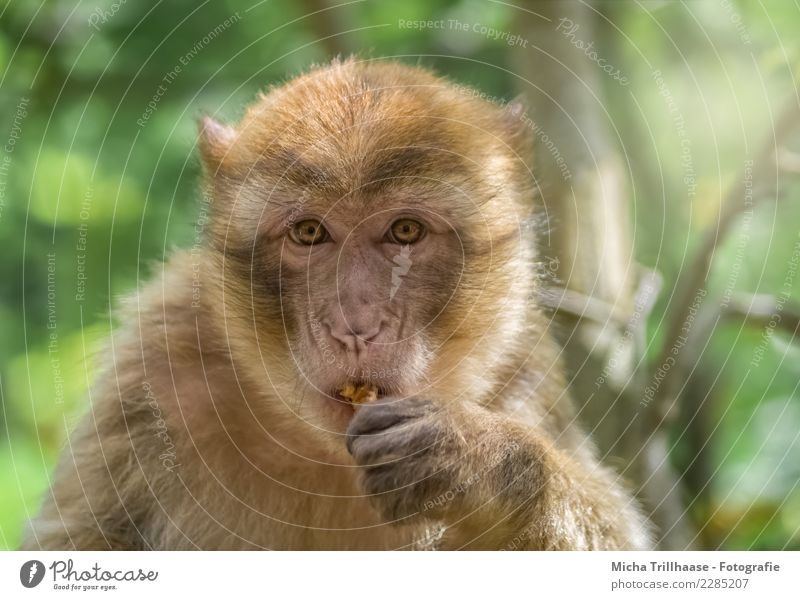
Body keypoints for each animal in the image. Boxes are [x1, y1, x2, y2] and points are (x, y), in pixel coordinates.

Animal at [21, 58, 652, 552]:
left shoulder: (522, 373)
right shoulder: (153, 369)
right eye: (308, 233)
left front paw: (478, 462)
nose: (355, 326)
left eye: (404, 231)